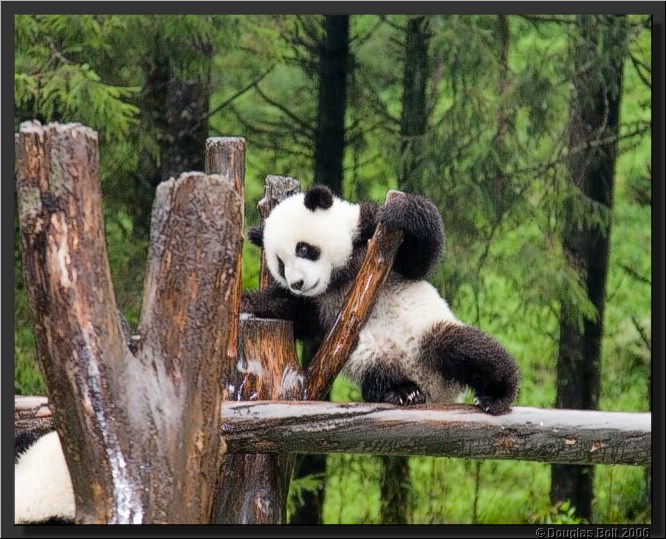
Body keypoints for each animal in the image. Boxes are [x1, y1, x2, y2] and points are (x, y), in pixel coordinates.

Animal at [241, 185, 520, 413]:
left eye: (303, 248)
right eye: (280, 264)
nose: (297, 283)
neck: (337, 277)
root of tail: (436, 392)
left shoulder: (370, 234)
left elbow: (419, 258)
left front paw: (401, 211)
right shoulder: (314, 304)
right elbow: (291, 311)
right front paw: (247, 303)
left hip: (428, 331)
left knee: (466, 348)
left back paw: (497, 395)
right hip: (371, 356)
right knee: (377, 376)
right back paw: (403, 392)